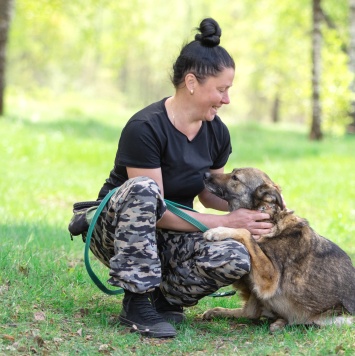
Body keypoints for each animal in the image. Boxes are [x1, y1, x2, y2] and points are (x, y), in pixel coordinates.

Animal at [202, 168, 354, 332]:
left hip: (338, 319)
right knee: (250, 312)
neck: (269, 217)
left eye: (235, 177)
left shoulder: (270, 278)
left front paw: (218, 231)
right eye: (232, 172)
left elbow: (245, 231)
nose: (205, 174)